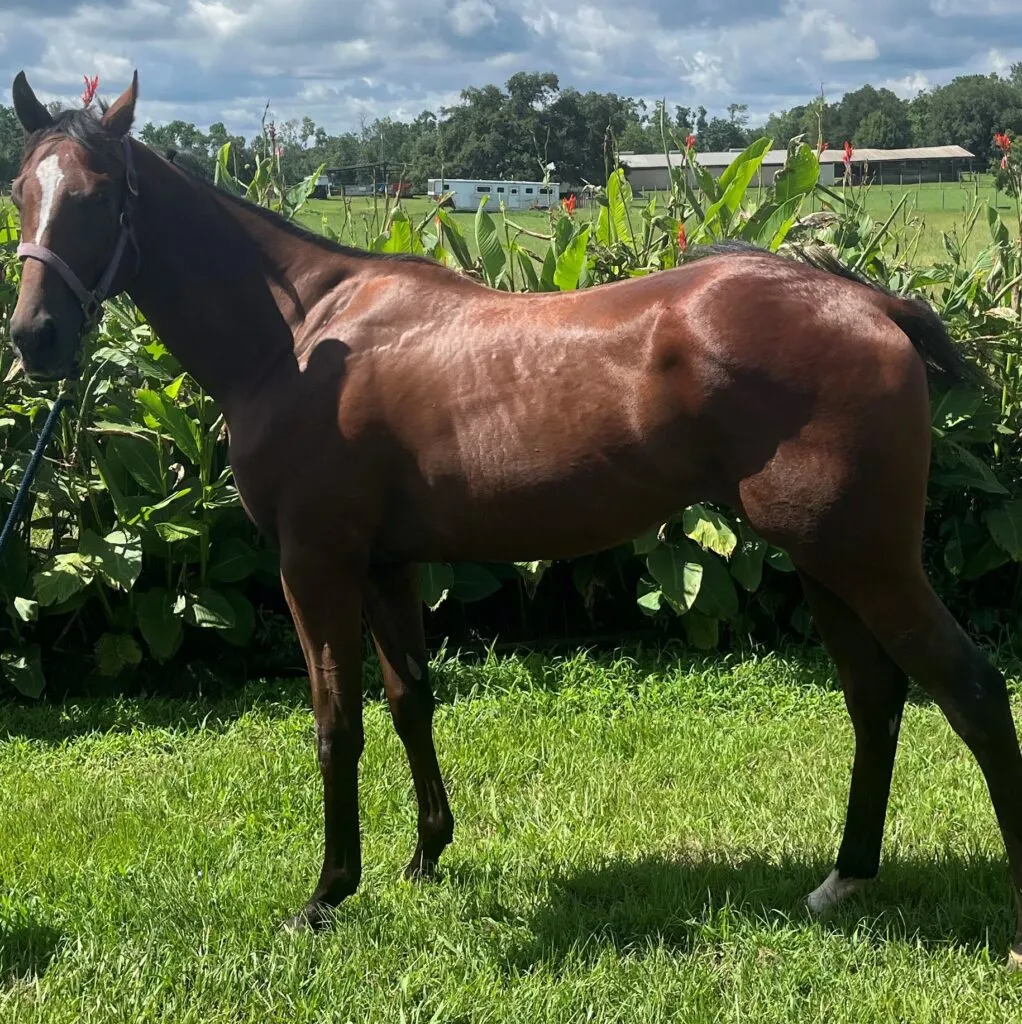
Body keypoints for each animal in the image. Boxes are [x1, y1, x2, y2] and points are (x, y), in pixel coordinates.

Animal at [6, 72, 1022, 966]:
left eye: (97, 196)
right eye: (21, 191)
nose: (34, 338)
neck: (300, 339)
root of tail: (867, 301)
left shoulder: (315, 563)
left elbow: (337, 724)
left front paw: (327, 895)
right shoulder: (388, 565)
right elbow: (411, 701)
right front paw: (423, 858)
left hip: (867, 559)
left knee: (971, 690)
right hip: (825, 561)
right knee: (876, 702)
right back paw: (843, 878)